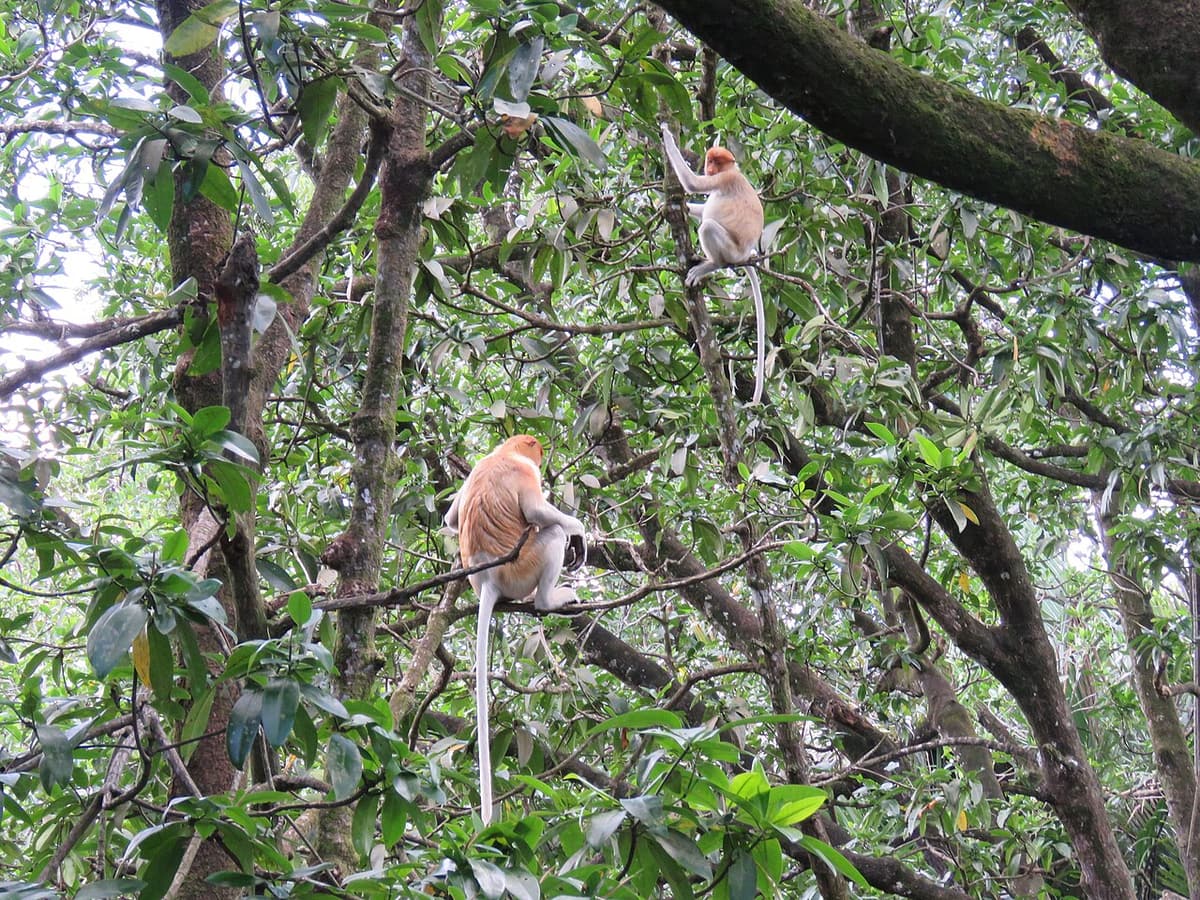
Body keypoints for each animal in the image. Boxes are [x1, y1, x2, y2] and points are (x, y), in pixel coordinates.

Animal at [443, 434, 586, 825]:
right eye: (535, 451)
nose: (543, 457)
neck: (502, 453)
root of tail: (490, 579)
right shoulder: (524, 473)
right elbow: (537, 512)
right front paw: (580, 533)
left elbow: (450, 517)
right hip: (522, 568)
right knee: (550, 533)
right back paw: (550, 599)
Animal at [661, 123, 767, 404]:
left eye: (716, 162)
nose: (709, 167)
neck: (732, 171)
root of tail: (745, 254)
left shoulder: (724, 179)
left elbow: (694, 183)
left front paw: (665, 135)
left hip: (730, 248)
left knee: (708, 227)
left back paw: (709, 264)